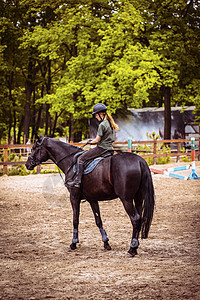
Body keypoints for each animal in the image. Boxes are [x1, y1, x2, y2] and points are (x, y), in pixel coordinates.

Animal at [25, 135, 155, 255]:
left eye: (34, 148)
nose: (27, 164)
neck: (70, 161)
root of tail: (140, 161)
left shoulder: (74, 197)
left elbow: (75, 219)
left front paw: (73, 243)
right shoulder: (92, 199)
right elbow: (98, 220)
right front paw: (106, 242)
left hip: (126, 199)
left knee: (135, 219)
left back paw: (132, 248)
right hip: (138, 198)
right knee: (139, 218)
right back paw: (135, 247)